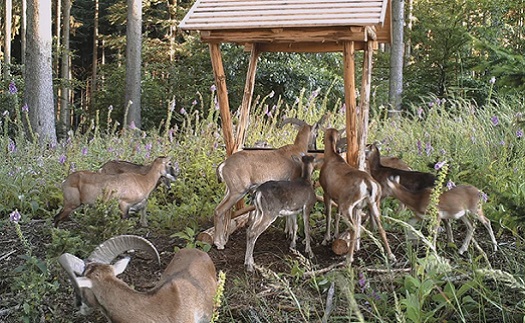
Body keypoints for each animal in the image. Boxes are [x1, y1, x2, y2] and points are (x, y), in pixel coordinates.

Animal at [212, 116, 324, 251]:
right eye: (316, 134)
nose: (315, 147)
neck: (296, 149)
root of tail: (224, 165)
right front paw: (292, 235)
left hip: (230, 191)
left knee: (217, 210)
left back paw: (221, 241)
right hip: (237, 192)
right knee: (220, 211)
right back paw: (219, 244)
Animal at [316, 128, 392, 264]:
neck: (331, 157)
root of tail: (369, 183)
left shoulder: (326, 192)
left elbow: (329, 215)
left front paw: (326, 239)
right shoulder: (338, 198)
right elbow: (337, 215)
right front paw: (335, 235)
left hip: (348, 205)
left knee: (354, 228)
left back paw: (348, 259)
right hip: (373, 203)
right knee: (381, 227)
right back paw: (391, 255)